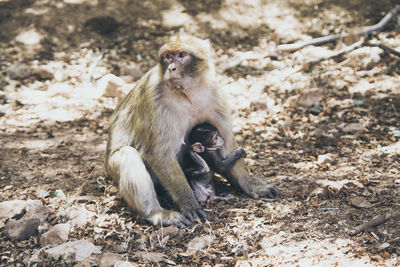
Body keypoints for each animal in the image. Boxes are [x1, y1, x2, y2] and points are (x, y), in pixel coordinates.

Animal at [104, 35, 280, 228]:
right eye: (168, 57)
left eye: (181, 55)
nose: (172, 68)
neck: (188, 92)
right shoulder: (153, 97)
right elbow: (159, 154)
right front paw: (189, 204)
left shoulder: (215, 93)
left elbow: (226, 142)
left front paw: (251, 185)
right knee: (127, 153)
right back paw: (156, 213)